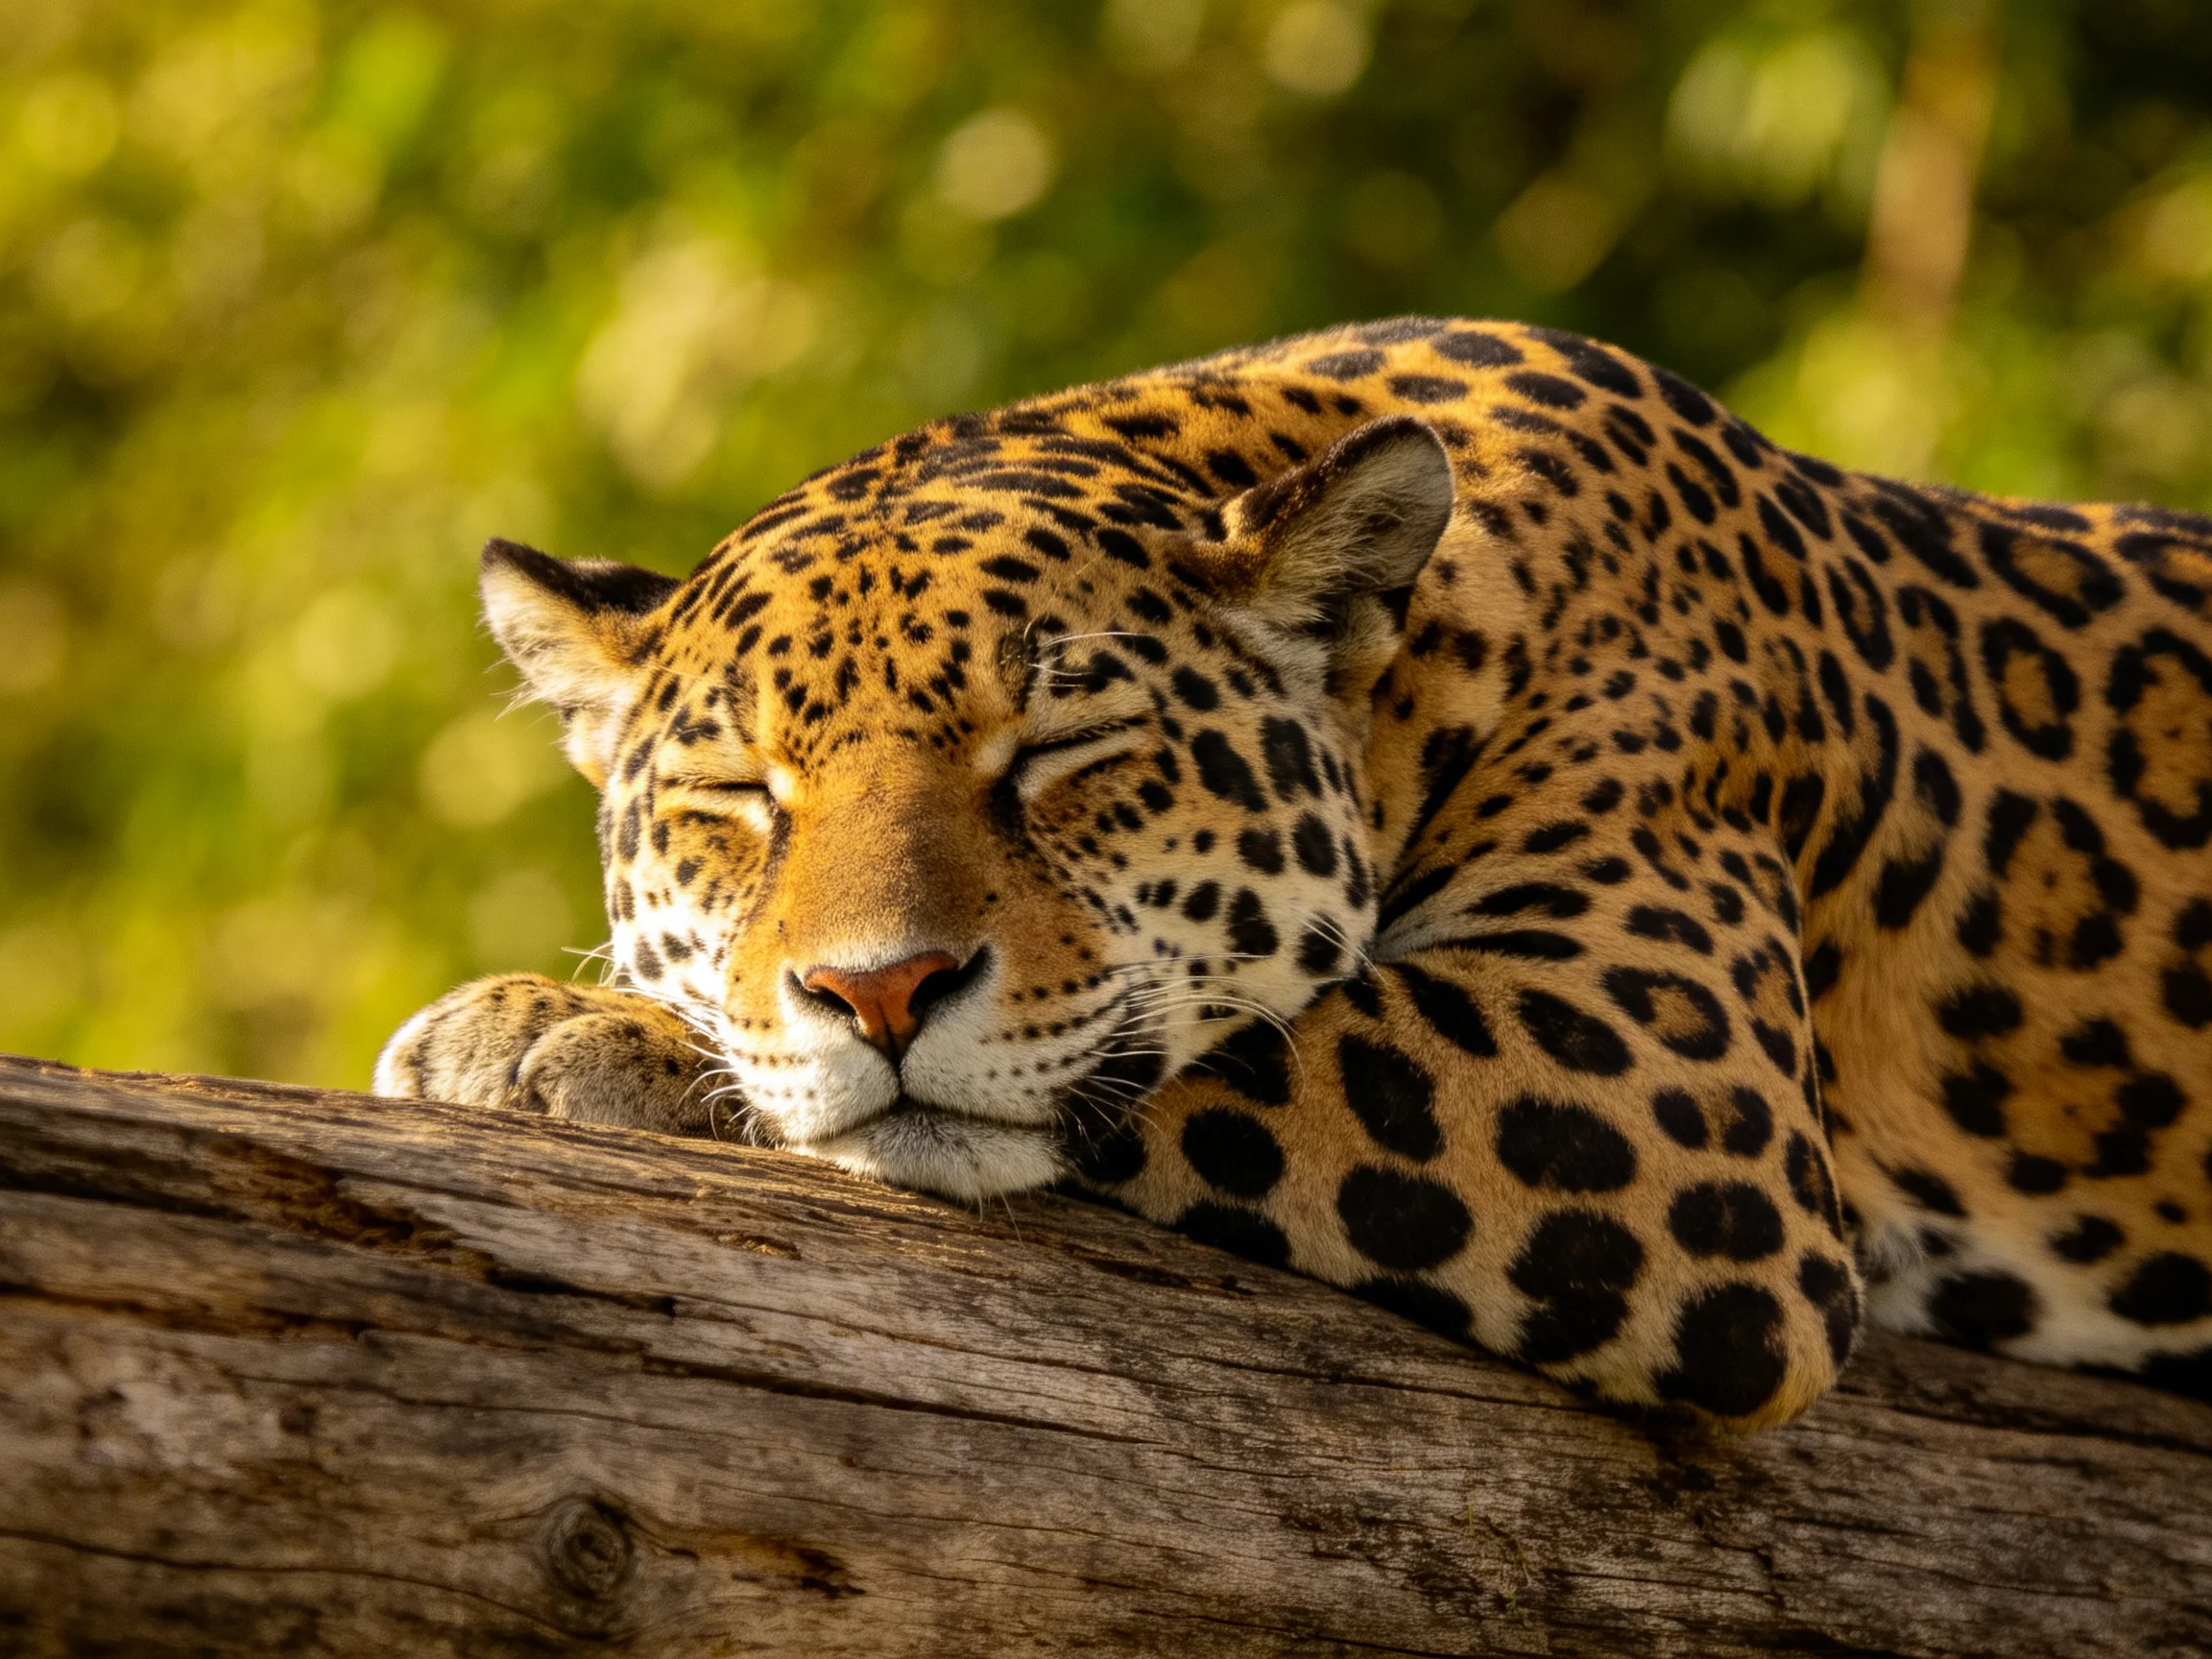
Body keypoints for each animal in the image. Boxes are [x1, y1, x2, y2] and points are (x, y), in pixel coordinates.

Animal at [377, 317, 2212, 1428]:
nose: (877, 990)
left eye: (1058, 748)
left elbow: (1231, 1053)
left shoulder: (1658, 1077)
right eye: (736, 796)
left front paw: (557, 1037)